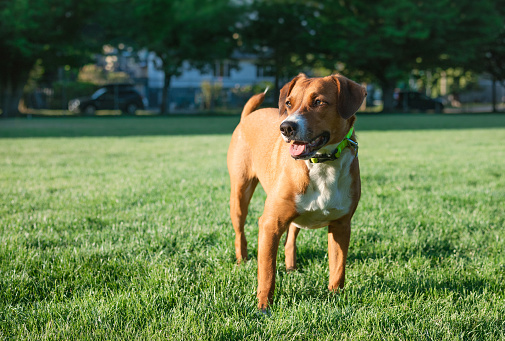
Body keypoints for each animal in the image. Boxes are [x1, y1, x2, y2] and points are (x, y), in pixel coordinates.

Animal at [228, 73, 366, 310]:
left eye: (319, 102)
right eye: (289, 103)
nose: (286, 127)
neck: (322, 163)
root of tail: (248, 116)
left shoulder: (341, 225)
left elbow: (338, 267)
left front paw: (335, 297)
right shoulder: (270, 224)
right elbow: (267, 272)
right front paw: (263, 307)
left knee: (291, 236)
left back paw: (291, 266)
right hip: (239, 193)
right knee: (240, 231)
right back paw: (242, 260)